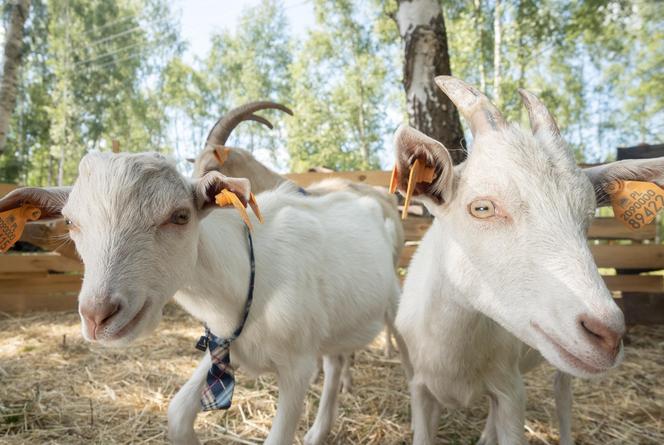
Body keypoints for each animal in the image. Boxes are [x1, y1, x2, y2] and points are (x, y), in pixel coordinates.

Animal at [0, 153, 400, 444]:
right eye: (70, 222)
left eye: (180, 216)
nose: (99, 316)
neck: (247, 279)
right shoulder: (223, 346)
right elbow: (177, 413)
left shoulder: (297, 367)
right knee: (336, 360)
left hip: (394, 301)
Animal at [392, 74, 664, 442]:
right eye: (482, 208)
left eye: (589, 216)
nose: (608, 335)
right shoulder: (421, 391)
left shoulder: (510, 391)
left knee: (562, 395)